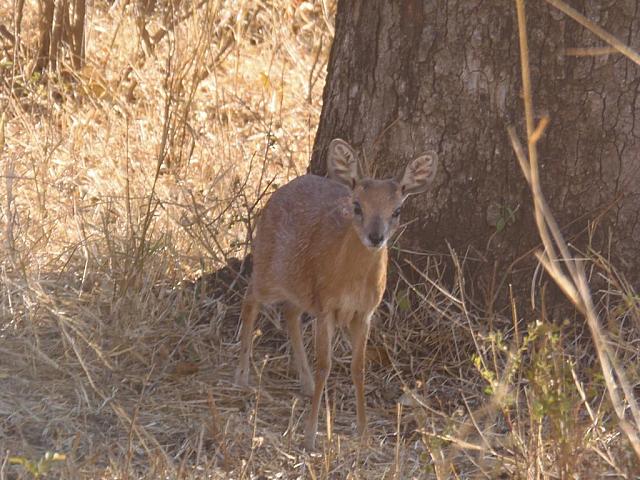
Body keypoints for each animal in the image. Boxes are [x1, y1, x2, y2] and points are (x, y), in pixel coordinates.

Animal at [235, 138, 440, 450]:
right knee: (250, 298)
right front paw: (309, 436)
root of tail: (282, 189)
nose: (375, 237)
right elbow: (325, 365)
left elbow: (358, 368)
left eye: (397, 211)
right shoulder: (327, 307)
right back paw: (243, 376)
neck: (350, 283)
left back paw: (305, 383)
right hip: (269, 269)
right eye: (357, 206)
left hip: (301, 288)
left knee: (290, 312)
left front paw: (364, 434)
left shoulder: (364, 313)